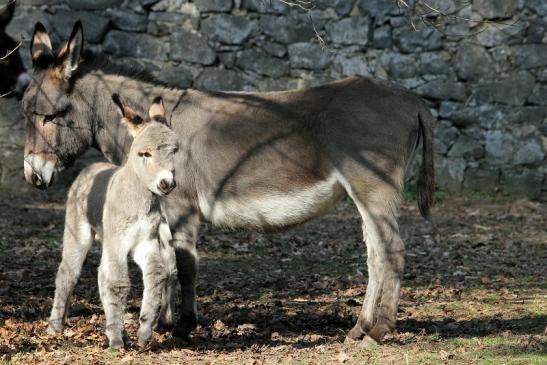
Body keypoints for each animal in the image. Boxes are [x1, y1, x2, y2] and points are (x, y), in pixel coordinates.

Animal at [47, 94, 180, 346]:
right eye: (145, 154)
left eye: (175, 151)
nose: (166, 184)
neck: (139, 201)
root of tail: (91, 166)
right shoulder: (118, 241)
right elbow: (119, 283)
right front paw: (117, 342)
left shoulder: (146, 241)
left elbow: (156, 275)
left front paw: (143, 332)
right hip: (79, 234)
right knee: (67, 273)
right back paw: (55, 326)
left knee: (101, 273)